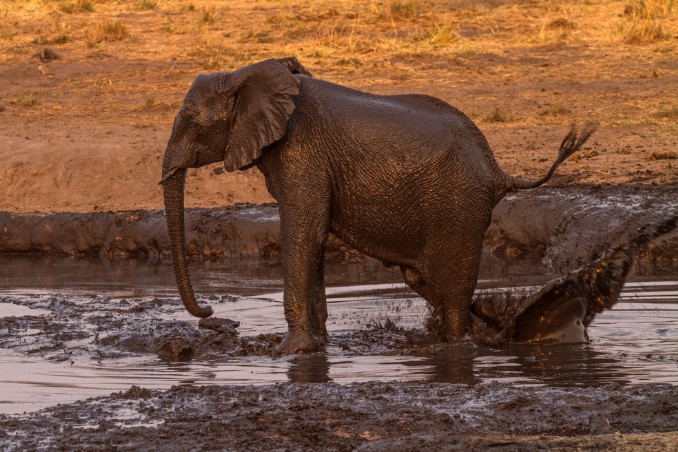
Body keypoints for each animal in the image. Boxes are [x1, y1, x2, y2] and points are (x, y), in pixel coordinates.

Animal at [158, 56, 596, 354]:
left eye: (192, 120)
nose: (213, 316)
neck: (245, 75)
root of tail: (497, 169)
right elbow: (314, 240)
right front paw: (318, 346)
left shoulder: (301, 153)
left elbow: (303, 234)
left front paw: (289, 352)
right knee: (426, 282)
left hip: (459, 210)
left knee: (453, 293)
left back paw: (457, 344)